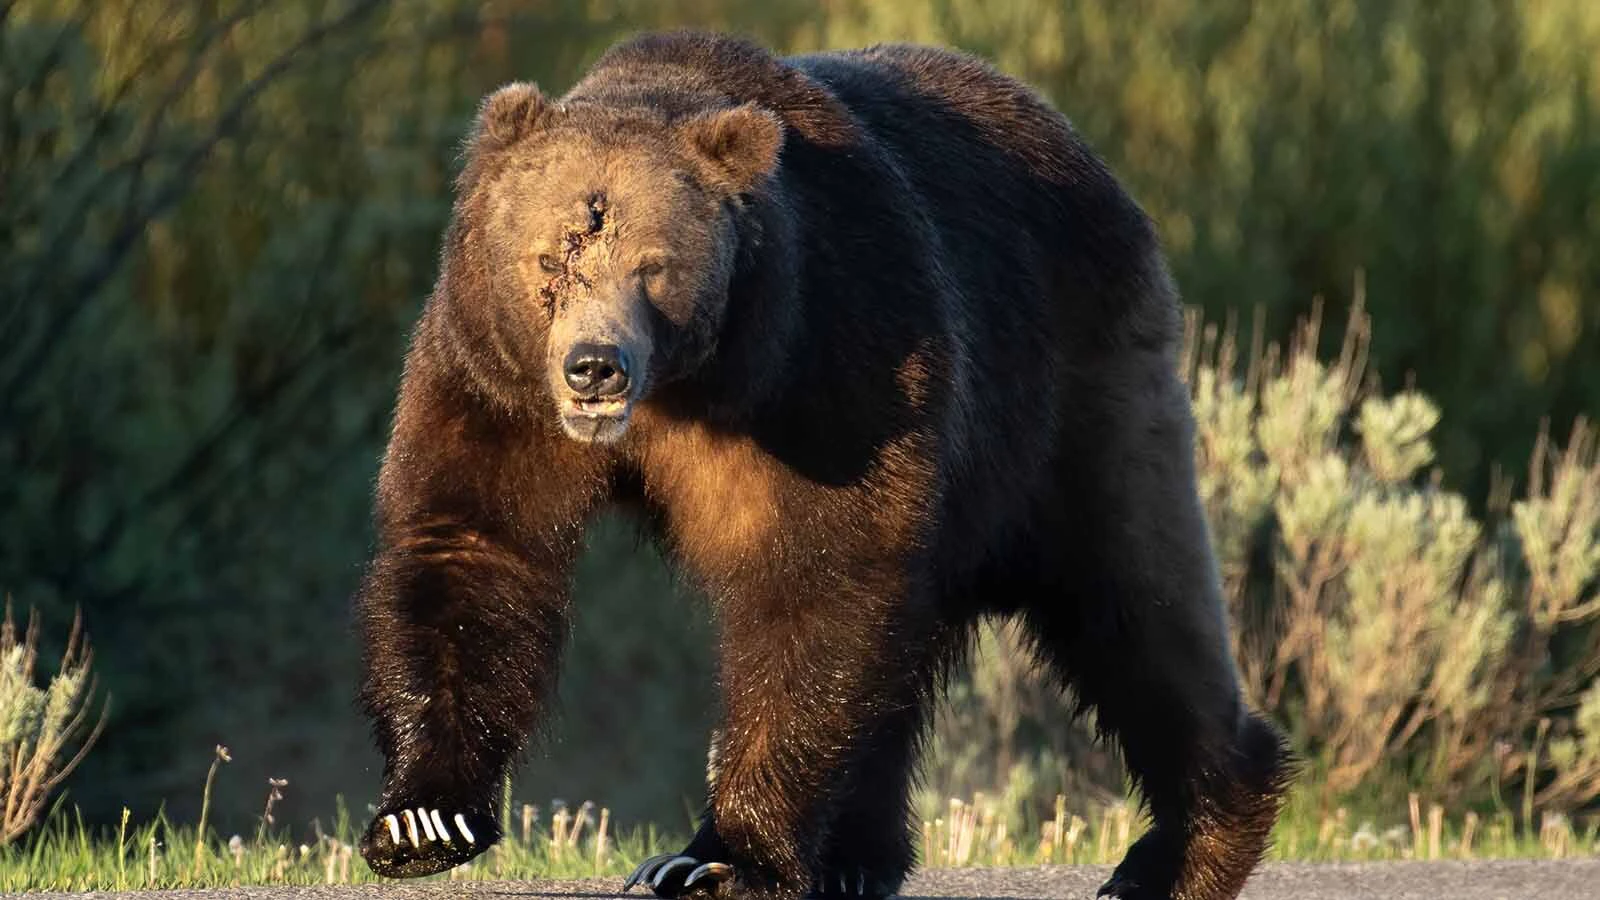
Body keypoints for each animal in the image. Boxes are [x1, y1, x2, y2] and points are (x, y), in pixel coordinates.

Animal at [353, 29, 1291, 900]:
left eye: (653, 265)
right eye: (551, 257)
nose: (594, 368)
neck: (694, 389)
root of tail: (1087, 154)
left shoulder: (836, 360)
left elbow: (819, 579)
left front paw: (721, 858)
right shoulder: (491, 383)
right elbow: (472, 544)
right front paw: (422, 819)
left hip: (1071, 396)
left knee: (1132, 598)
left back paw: (1185, 847)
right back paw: (857, 858)